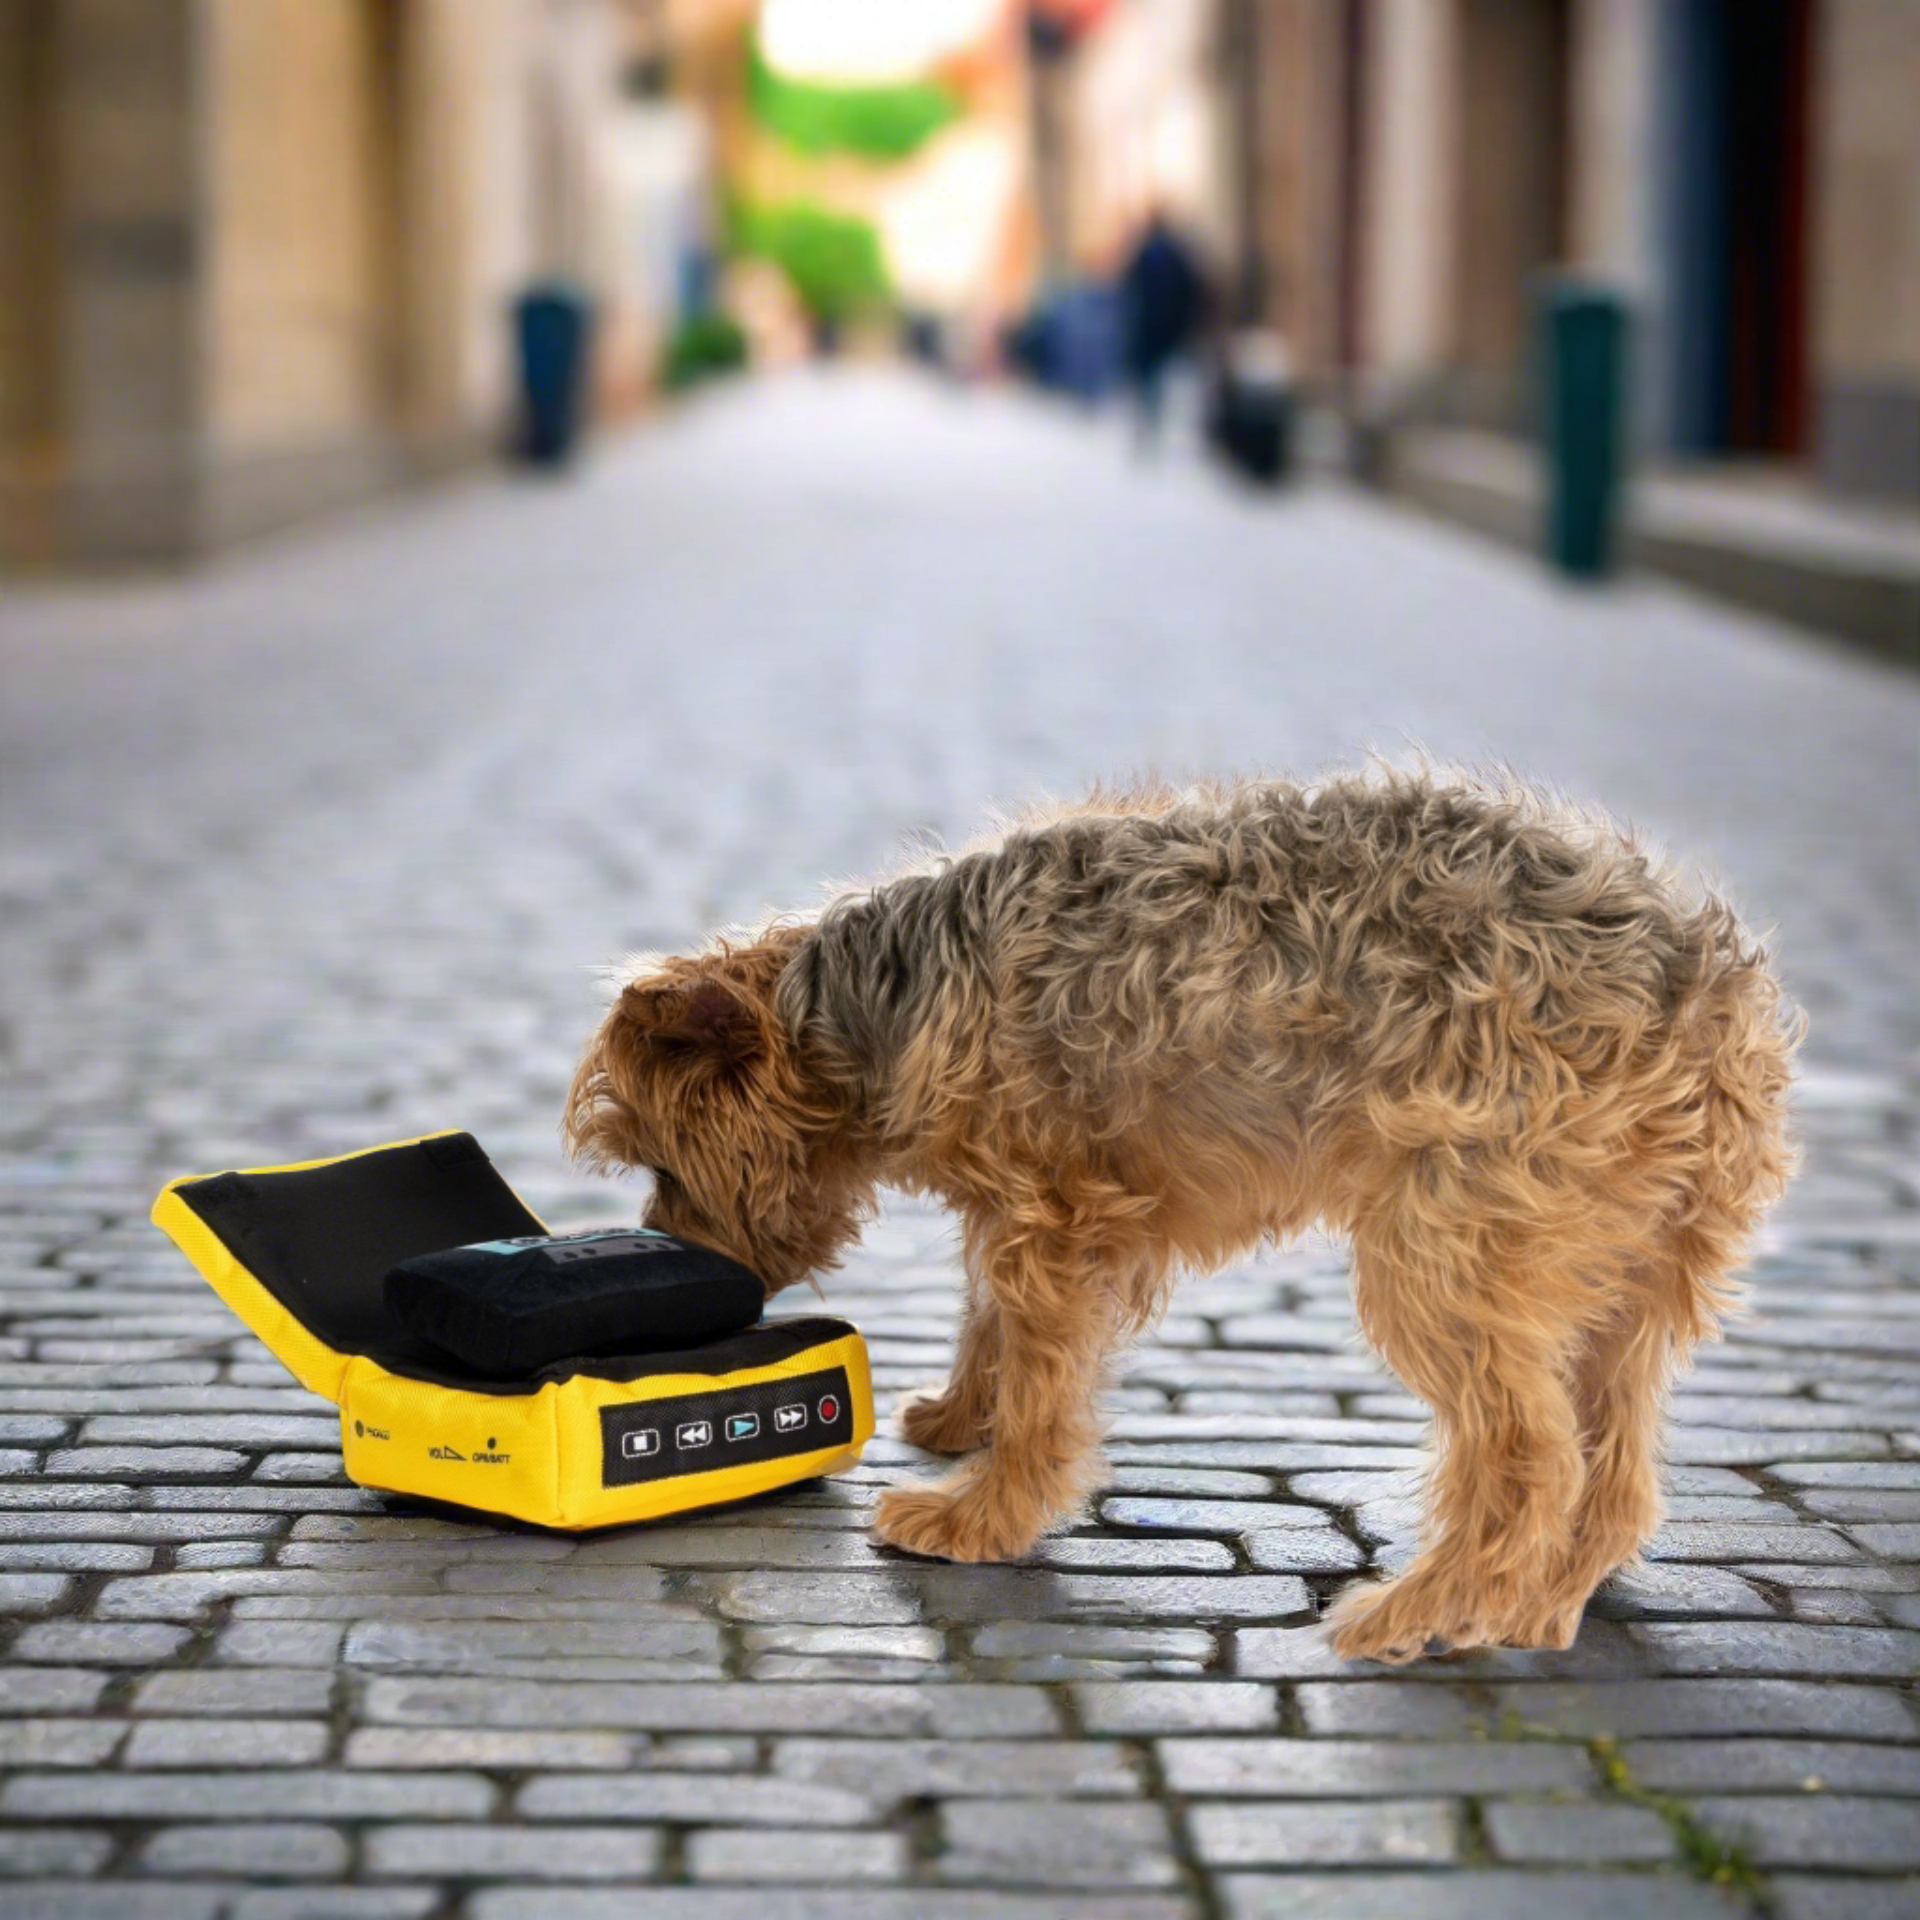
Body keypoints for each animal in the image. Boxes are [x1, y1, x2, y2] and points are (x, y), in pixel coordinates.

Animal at [560, 771, 1797, 1658]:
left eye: (662, 1162)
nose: (678, 1264)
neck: (878, 1004)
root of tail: (1708, 987)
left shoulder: (1053, 1217)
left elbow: (1043, 1380)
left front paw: (984, 1514)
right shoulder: (1022, 1213)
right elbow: (986, 1322)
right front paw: (962, 1415)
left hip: (1446, 1256)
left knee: (1530, 1463)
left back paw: (1423, 1614)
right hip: (1615, 1283)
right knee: (1613, 1472)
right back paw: (1542, 1607)